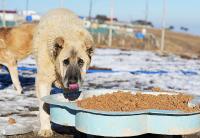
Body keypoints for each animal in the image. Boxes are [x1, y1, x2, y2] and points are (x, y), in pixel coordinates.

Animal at [33, 8, 94, 137]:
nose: (72, 81)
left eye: (81, 62)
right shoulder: (43, 81)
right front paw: (45, 129)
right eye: (65, 61)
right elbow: (44, 106)